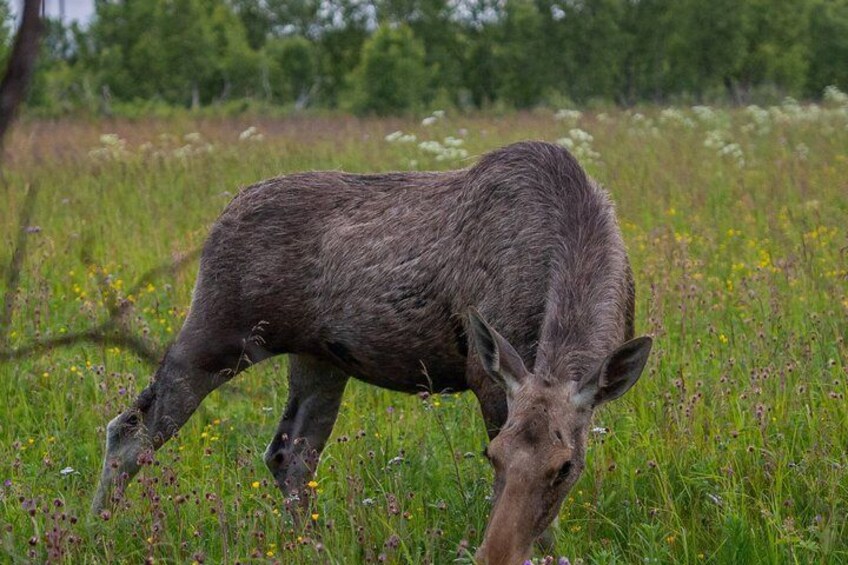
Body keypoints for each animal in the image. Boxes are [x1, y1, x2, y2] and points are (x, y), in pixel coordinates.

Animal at [92, 141, 652, 564]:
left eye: (567, 468)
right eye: (492, 457)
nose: (493, 557)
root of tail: (221, 215)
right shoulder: (487, 376)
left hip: (318, 359)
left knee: (289, 455)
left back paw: (310, 546)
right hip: (217, 334)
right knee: (128, 429)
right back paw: (94, 530)